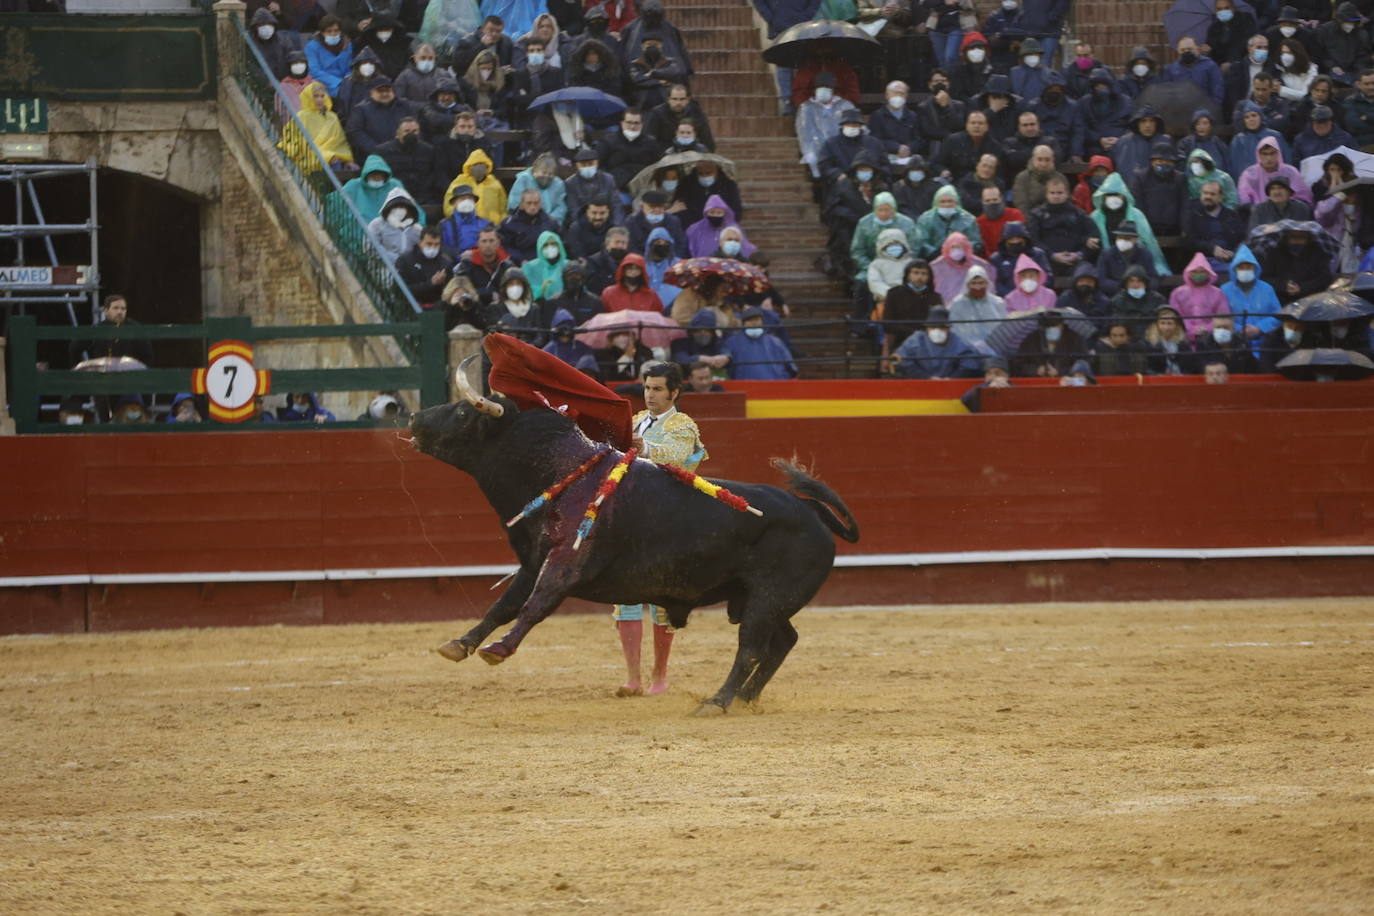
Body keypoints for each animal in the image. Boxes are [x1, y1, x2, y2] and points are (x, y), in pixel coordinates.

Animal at [406, 398, 857, 714]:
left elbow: (535, 605)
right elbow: (504, 604)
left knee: (751, 646)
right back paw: (746, 699)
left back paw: (718, 701)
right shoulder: (534, 560)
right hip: (754, 599)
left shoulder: (565, 563)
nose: (412, 417)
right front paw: (460, 644)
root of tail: (812, 511)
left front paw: (498, 650)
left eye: (462, 411)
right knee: (782, 641)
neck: (563, 473)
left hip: (768, 597)